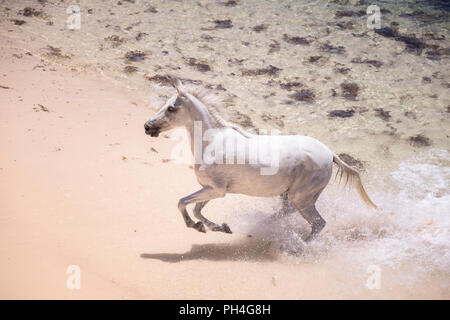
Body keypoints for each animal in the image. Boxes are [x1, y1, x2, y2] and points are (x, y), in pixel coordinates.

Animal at [145, 79, 376, 241]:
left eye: (171, 108)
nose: (147, 127)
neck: (212, 142)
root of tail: (330, 154)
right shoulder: (213, 189)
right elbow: (196, 210)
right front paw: (218, 227)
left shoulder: (215, 190)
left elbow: (182, 203)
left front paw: (197, 226)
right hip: (294, 196)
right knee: (287, 214)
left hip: (301, 198)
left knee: (318, 224)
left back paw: (299, 246)